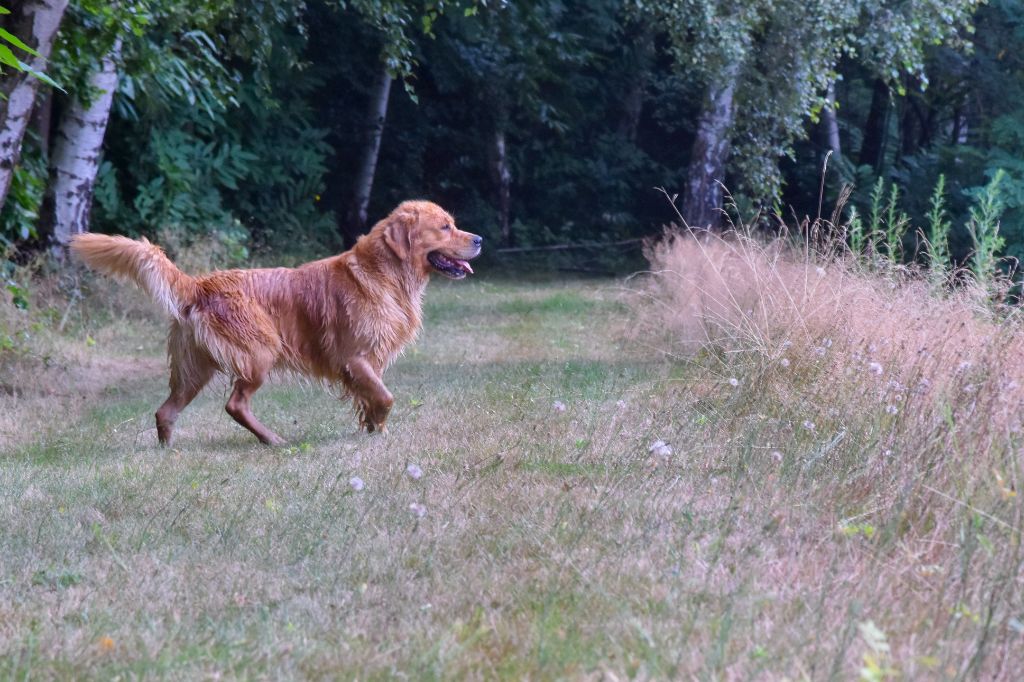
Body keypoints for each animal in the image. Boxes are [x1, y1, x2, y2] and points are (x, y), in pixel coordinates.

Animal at [72, 200, 479, 446]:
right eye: (445, 227)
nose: (479, 238)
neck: (384, 274)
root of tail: (200, 284)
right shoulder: (354, 358)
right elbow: (386, 397)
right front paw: (378, 427)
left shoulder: (369, 364)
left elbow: (372, 397)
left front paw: (371, 428)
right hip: (259, 352)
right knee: (235, 405)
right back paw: (272, 440)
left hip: (195, 369)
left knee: (165, 410)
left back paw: (169, 451)